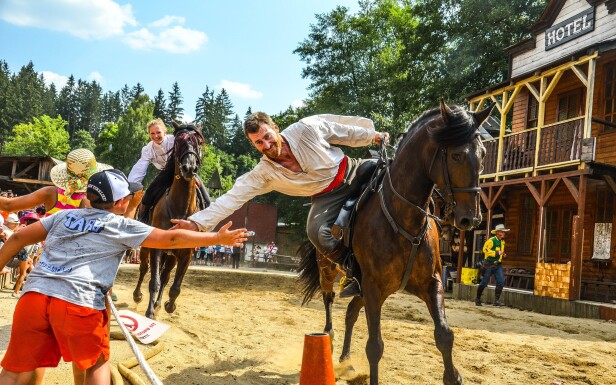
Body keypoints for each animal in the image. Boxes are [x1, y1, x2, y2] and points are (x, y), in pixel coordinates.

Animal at [132, 123, 205, 318]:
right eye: (178, 141)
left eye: (198, 141)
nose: (189, 167)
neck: (179, 209)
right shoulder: (156, 248)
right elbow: (154, 281)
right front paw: (149, 312)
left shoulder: (186, 254)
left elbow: (174, 287)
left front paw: (168, 306)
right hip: (147, 248)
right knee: (144, 269)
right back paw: (138, 296)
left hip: (172, 256)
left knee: (165, 277)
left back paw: (158, 304)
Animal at [296, 102, 494, 384]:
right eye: (456, 155)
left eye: (483, 153)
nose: (471, 217)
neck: (404, 218)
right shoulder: (373, 287)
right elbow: (374, 346)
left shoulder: (430, 284)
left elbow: (444, 335)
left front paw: (453, 376)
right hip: (329, 271)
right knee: (329, 303)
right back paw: (330, 342)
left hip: (362, 289)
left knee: (351, 313)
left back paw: (346, 359)